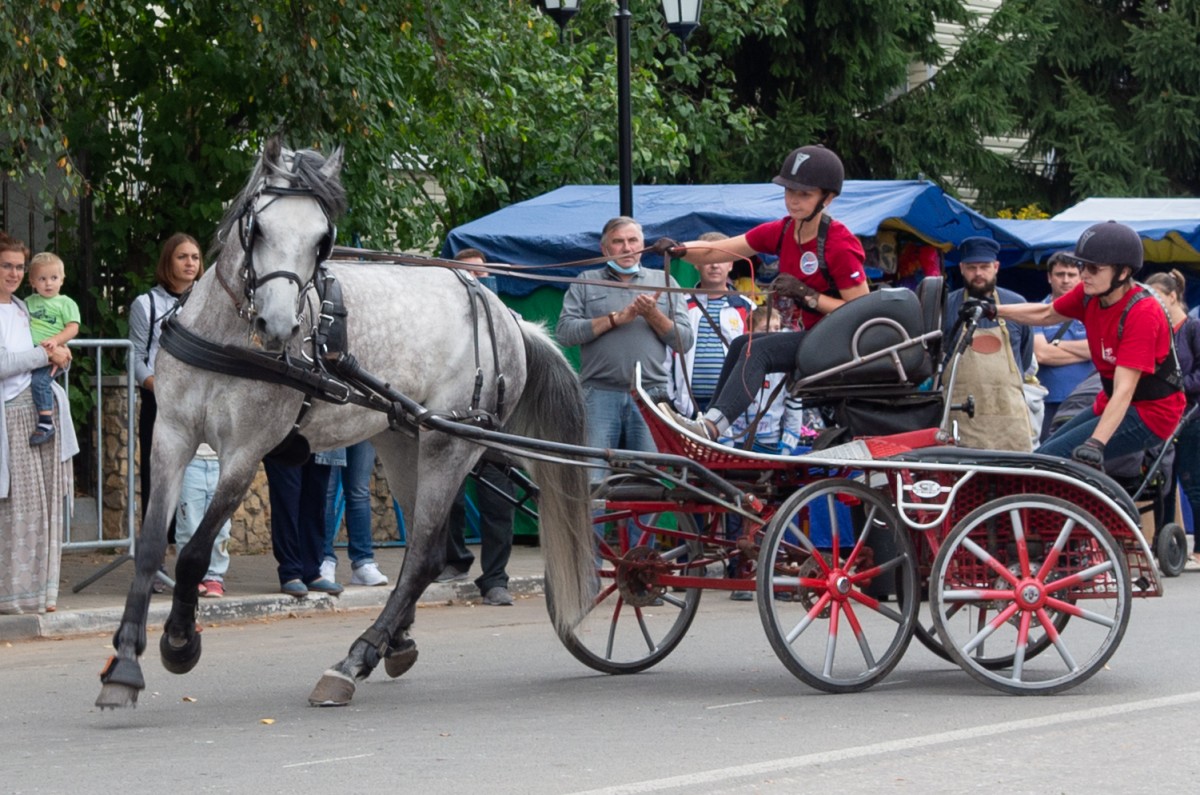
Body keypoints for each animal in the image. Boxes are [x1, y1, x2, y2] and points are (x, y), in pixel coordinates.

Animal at [98, 138, 595, 710]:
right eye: (258, 228)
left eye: (322, 240)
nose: (279, 326)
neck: (230, 338)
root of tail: (506, 315)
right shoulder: (172, 436)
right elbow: (151, 547)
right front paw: (124, 661)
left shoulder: (245, 453)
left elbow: (195, 551)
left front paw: (179, 642)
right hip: (404, 442)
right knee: (429, 552)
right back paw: (395, 641)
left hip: (449, 444)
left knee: (422, 556)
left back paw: (356, 659)